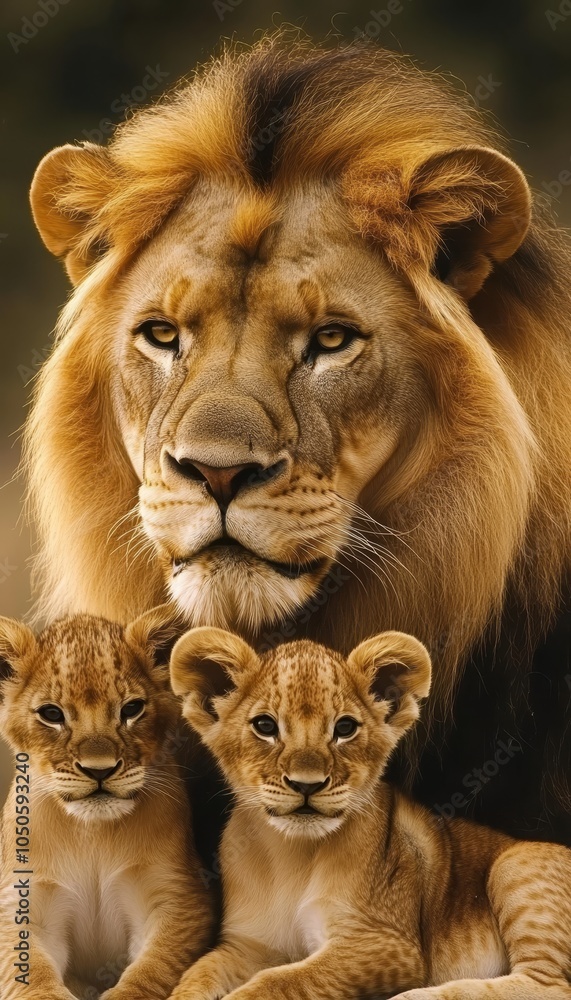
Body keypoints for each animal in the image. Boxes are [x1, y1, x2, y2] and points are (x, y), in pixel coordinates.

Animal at [0, 608, 213, 1000]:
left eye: (132, 709)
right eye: (51, 714)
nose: (99, 770)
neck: (93, 834)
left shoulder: (177, 899)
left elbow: (149, 973)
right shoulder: (23, 904)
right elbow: (31, 976)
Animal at [167, 626, 571, 1000]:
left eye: (344, 728)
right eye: (265, 726)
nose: (306, 785)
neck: (292, 854)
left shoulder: (389, 943)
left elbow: (282, 980)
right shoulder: (249, 944)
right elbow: (198, 972)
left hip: (515, 863)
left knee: (548, 985)